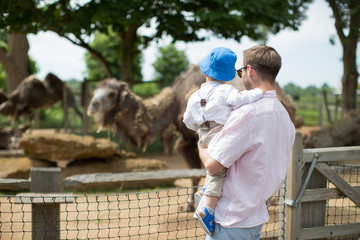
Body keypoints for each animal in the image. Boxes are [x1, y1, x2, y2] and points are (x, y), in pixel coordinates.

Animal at [88, 64, 298, 211]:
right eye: (94, 91)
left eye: (111, 93)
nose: (92, 105)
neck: (173, 103)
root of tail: (287, 100)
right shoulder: (187, 140)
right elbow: (193, 173)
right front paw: (188, 205)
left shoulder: (192, 138)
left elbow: (197, 172)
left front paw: (195, 203)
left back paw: (269, 202)